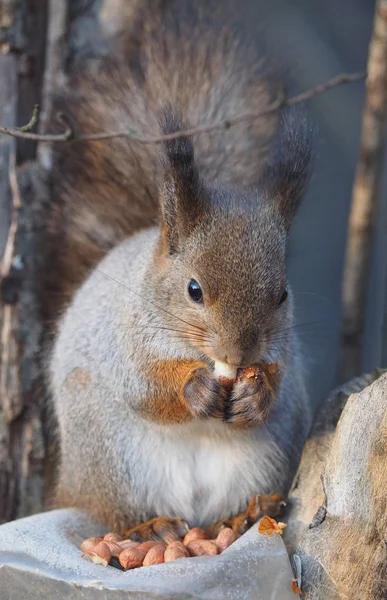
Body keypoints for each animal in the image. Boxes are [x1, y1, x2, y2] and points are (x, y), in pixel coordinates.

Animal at [44, 0, 316, 536]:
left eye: (282, 294)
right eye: (194, 289)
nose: (238, 352)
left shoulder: (283, 352)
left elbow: (276, 381)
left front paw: (257, 394)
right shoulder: (124, 342)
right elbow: (146, 388)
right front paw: (196, 388)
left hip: (269, 456)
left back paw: (246, 515)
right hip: (109, 458)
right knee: (119, 511)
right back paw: (149, 529)